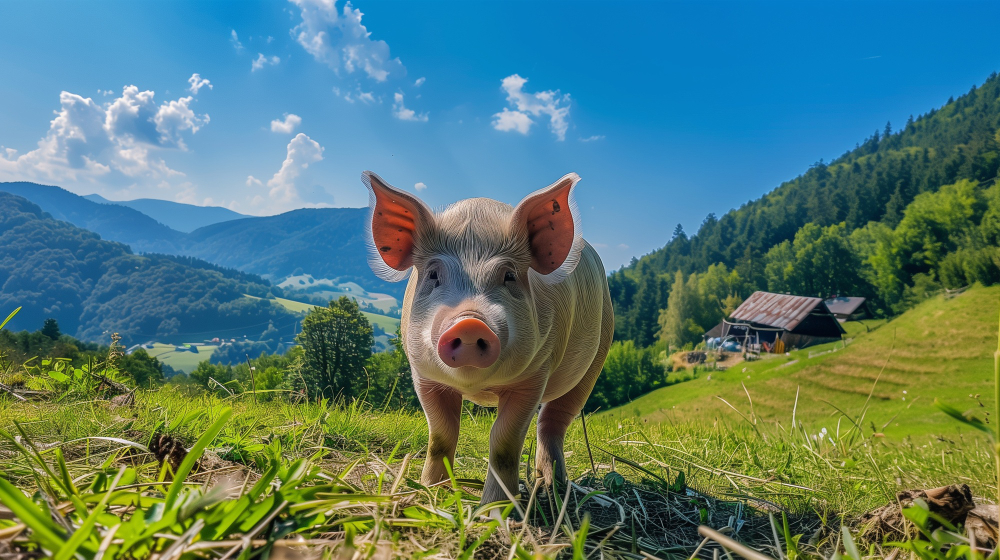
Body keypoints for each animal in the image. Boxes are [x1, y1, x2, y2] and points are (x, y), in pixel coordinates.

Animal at [364, 170, 612, 504]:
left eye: (509, 276)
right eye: (433, 275)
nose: (470, 323)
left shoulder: (535, 374)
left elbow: (504, 443)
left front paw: (495, 508)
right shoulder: (424, 376)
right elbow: (440, 435)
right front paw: (430, 492)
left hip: (597, 358)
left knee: (554, 420)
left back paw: (551, 487)